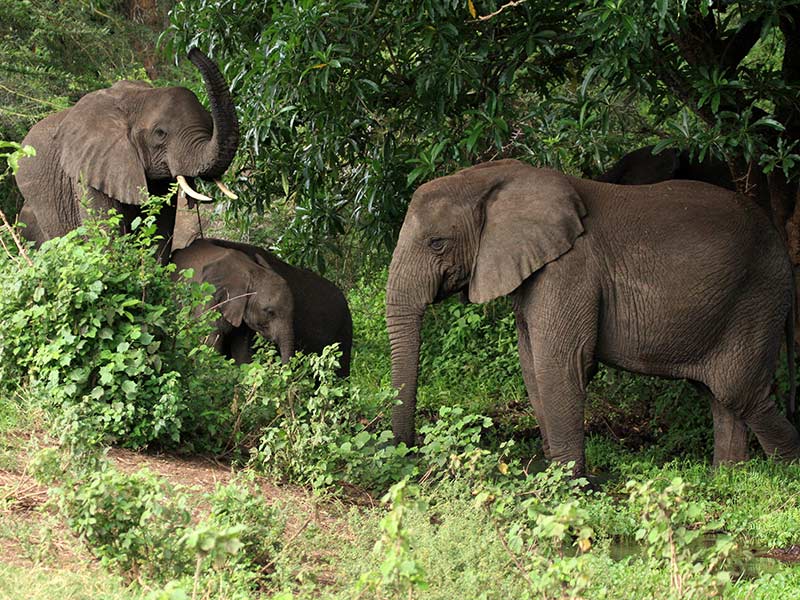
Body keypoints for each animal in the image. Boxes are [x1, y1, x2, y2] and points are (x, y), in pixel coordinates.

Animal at [14, 48, 238, 260]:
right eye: (160, 134)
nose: (192, 51)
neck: (136, 99)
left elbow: (159, 228)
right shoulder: (88, 169)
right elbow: (106, 234)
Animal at [388, 158, 800, 474]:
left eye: (437, 244)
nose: (410, 451)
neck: (494, 177)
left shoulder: (571, 269)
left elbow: (561, 363)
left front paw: (569, 488)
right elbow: (532, 366)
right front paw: (553, 477)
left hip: (758, 300)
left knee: (740, 392)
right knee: (720, 397)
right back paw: (727, 477)